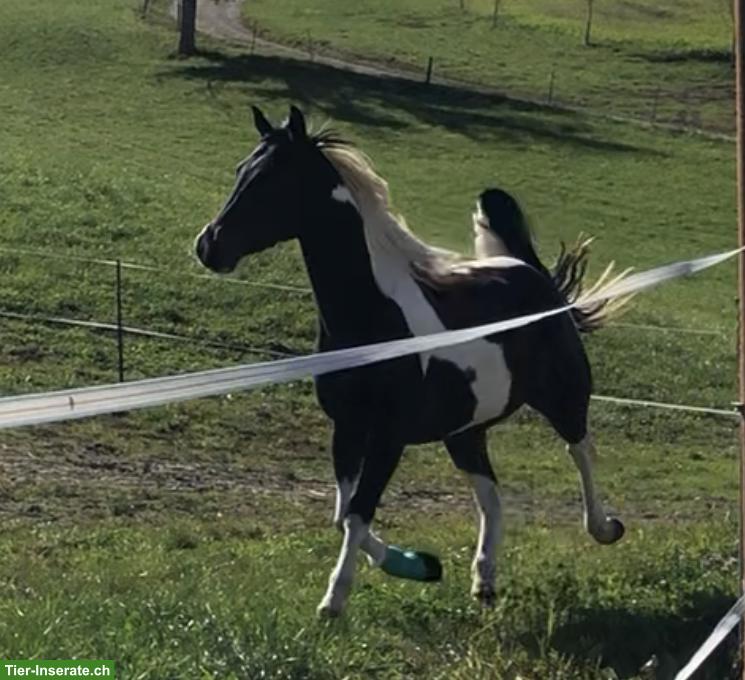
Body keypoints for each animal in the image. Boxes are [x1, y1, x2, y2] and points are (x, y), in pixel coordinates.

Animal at [195, 105, 628, 617]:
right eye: (241, 171)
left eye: (272, 181)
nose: (209, 246)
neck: (371, 320)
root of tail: (532, 274)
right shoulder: (347, 428)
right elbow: (344, 513)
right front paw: (420, 565)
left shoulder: (388, 436)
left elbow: (358, 512)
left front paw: (334, 600)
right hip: (464, 431)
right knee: (492, 496)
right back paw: (484, 581)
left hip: (563, 396)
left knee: (580, 450)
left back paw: (605, 528)